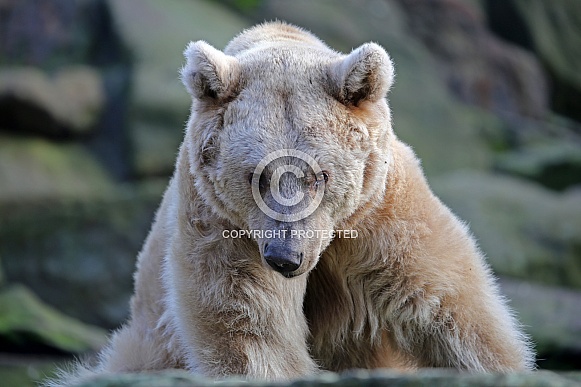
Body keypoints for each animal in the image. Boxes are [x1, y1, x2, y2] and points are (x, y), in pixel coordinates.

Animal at [51, 22, 536, 384]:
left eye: (318, 175)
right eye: (257, 176)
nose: (286, 257)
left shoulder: (383, 212)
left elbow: (454, 308)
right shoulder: (222, 225)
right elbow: (251, 328)